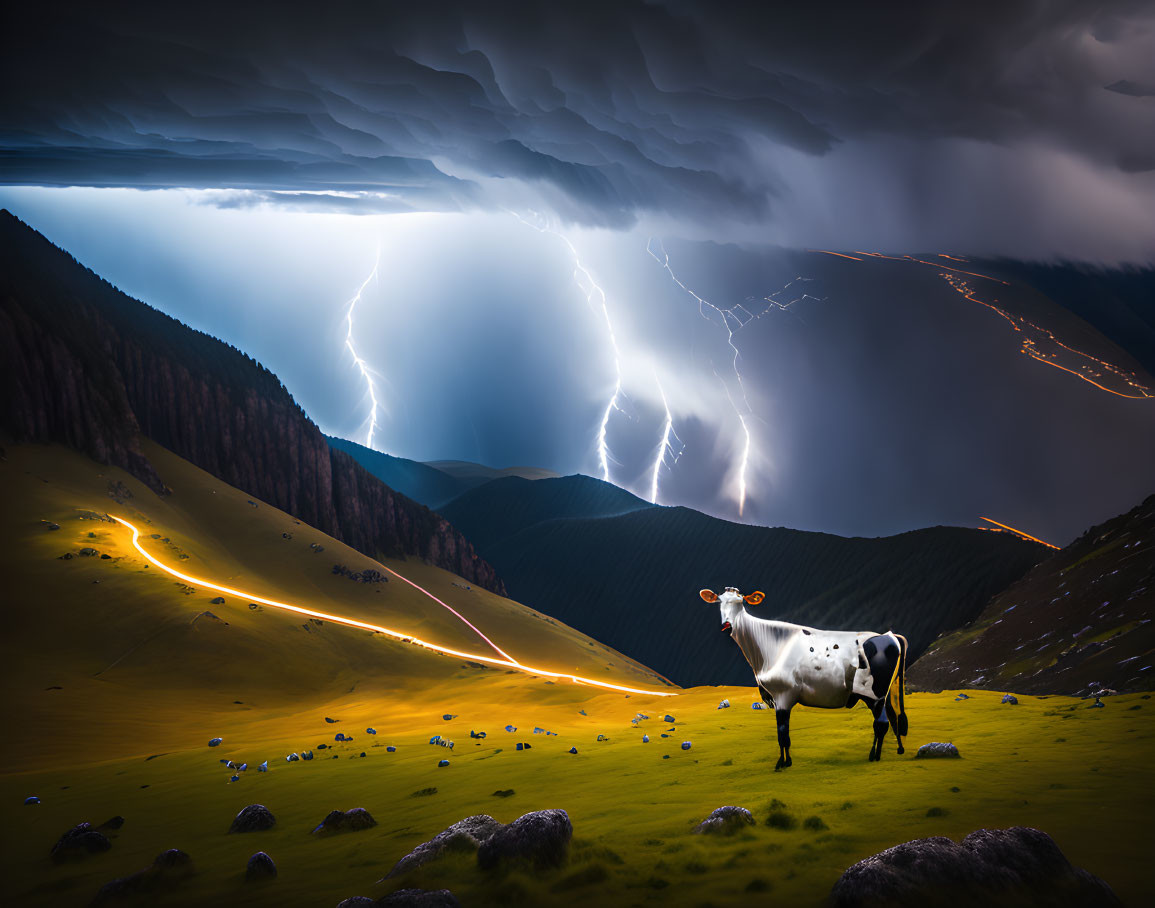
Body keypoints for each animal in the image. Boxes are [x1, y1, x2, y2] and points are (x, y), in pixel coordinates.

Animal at [697, 584, 905, 767]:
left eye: (740, 602)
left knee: (881, 723)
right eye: (720, 601)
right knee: (892, 718)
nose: (727, 624)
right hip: (885, 694)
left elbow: (782, 734)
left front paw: (782, 763)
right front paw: (786, 761)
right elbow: (783, 735)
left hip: (875, 694)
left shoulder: (783, 695)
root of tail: (888, 635)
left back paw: (874, 756)